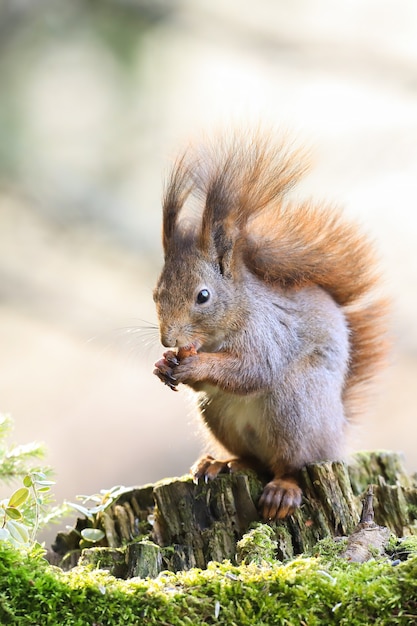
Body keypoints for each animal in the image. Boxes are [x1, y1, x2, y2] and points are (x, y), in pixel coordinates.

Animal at [153, 130, 386, 516]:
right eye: (156, 294)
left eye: (203, 296)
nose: (168, 341)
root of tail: (337, 435)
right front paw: (162, 366)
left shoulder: (268, 333)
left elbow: (254, 369)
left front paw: (194, 365)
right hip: (218, 415)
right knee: (253, 460)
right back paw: (220, 464)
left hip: (295, 409)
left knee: (292, 463)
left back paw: (283, 490)